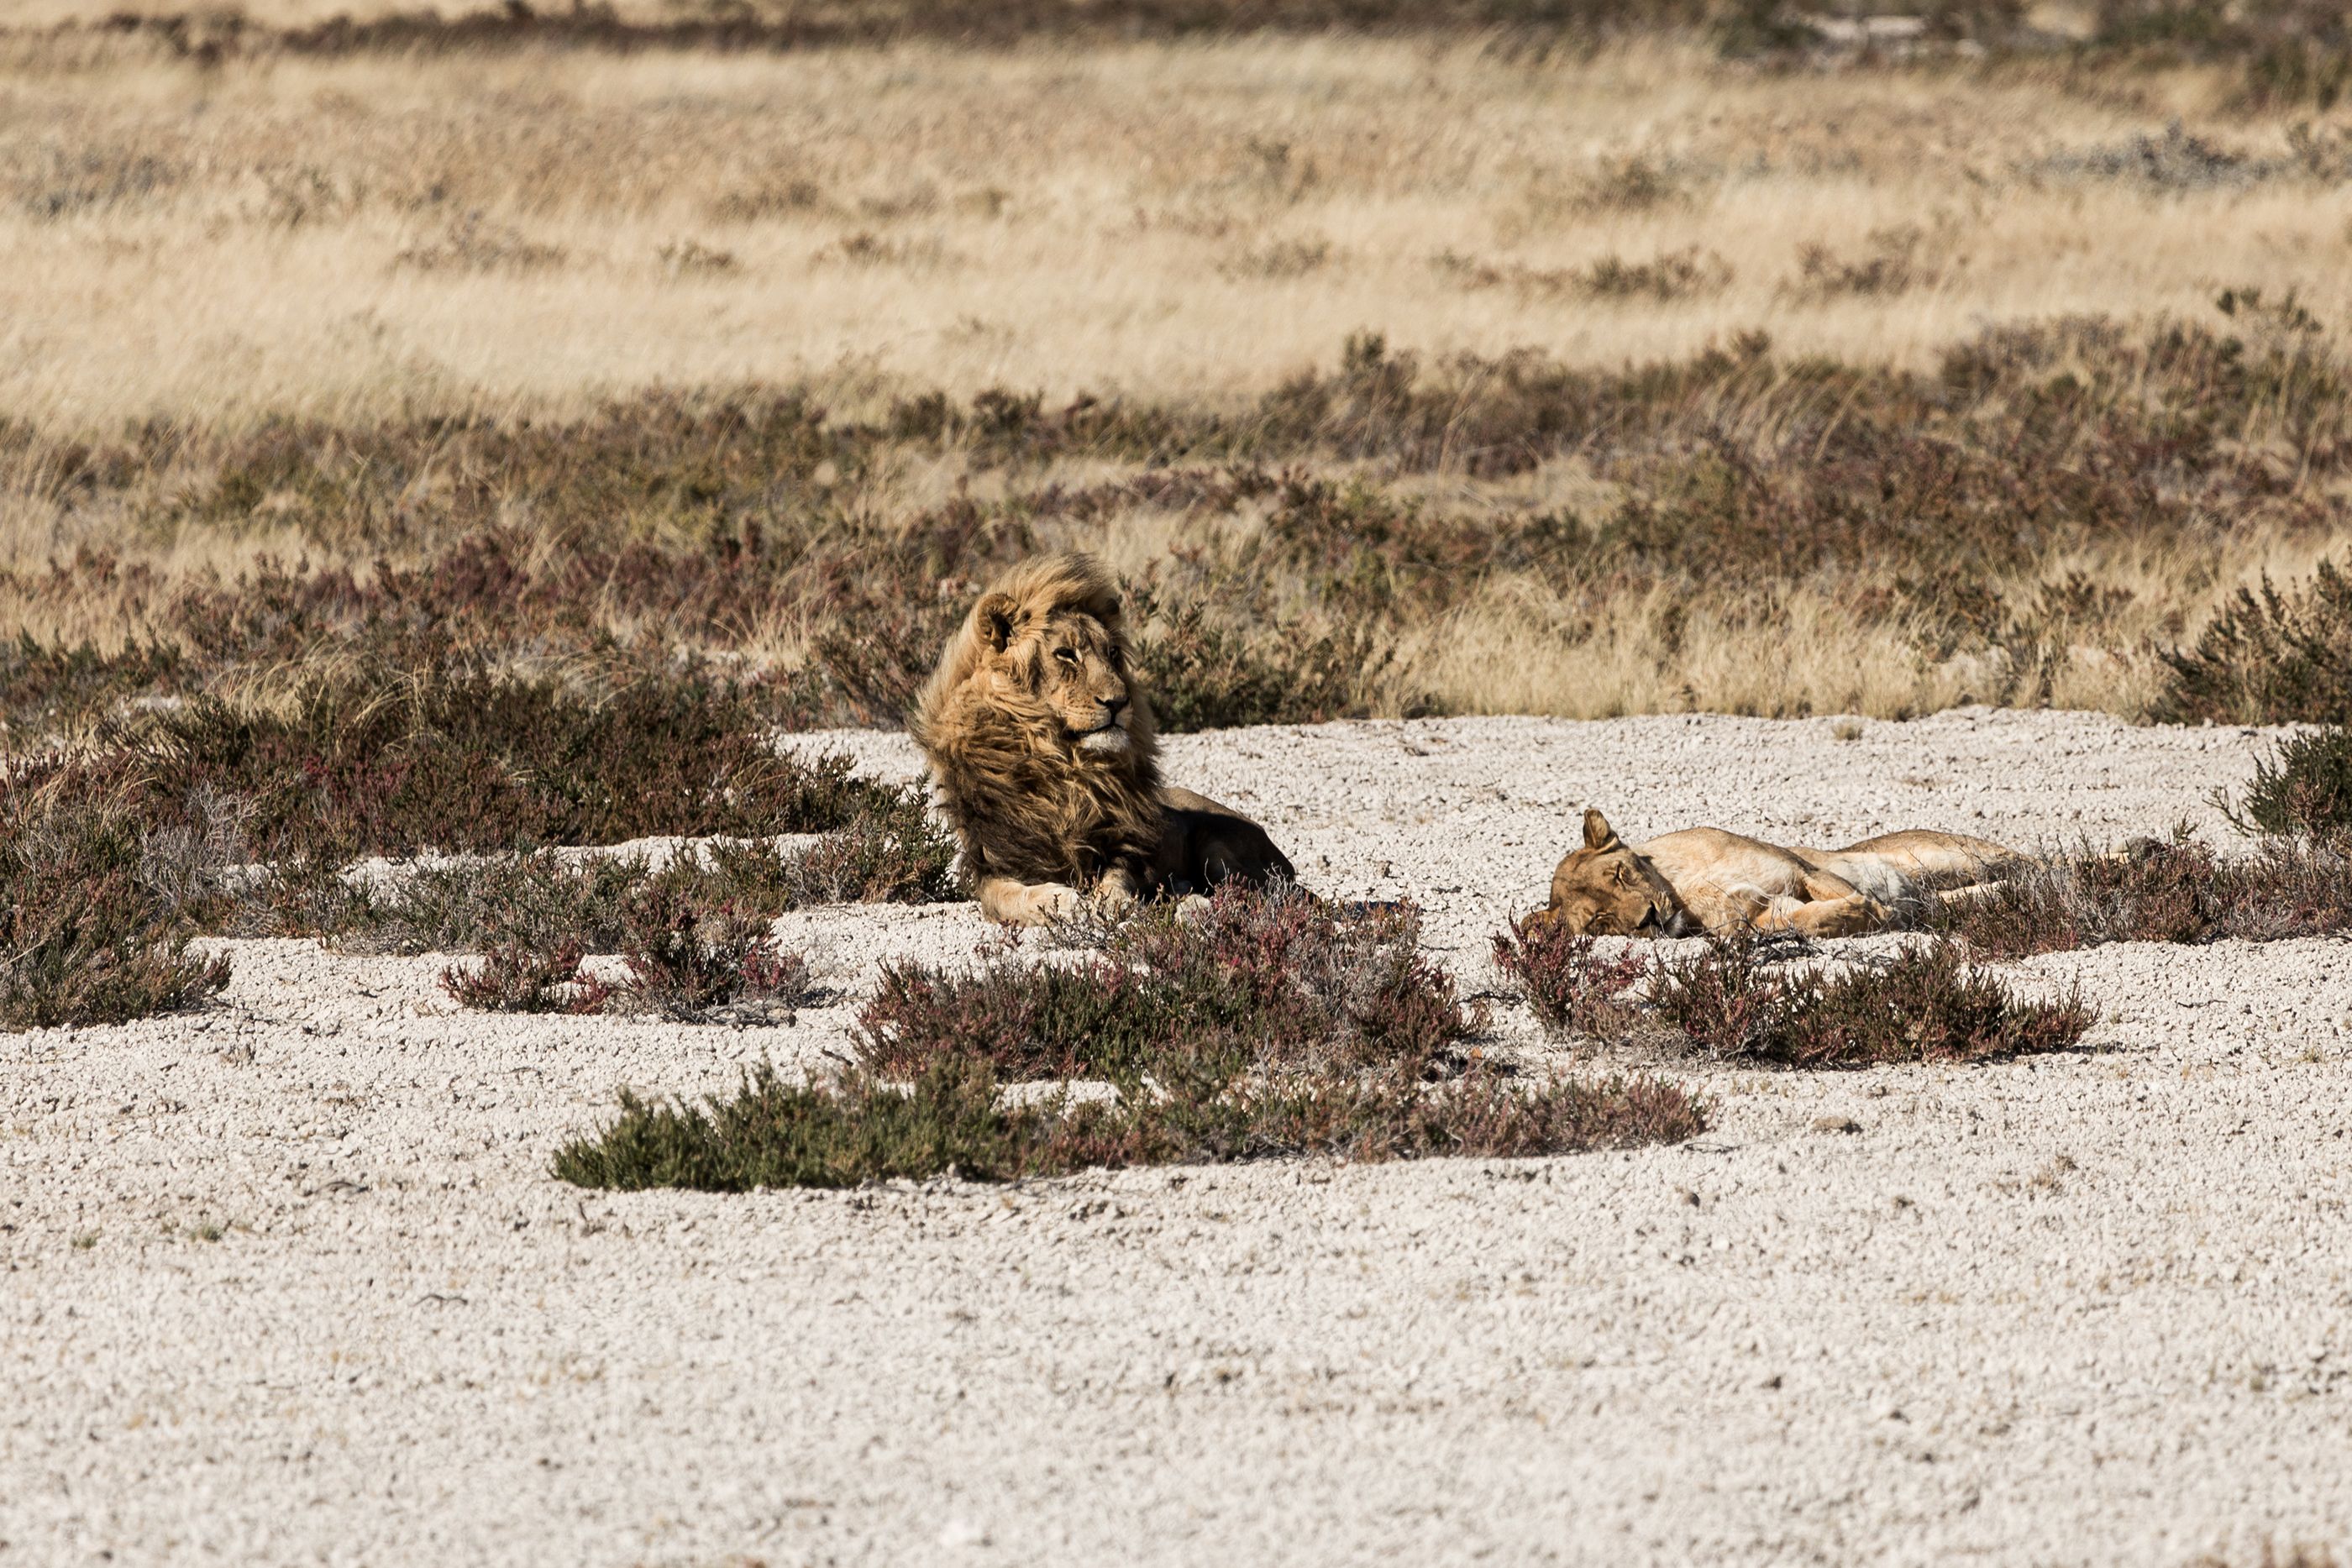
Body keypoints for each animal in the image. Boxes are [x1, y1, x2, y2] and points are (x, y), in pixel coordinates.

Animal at [909, 552, 1294, 925]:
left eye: (1112, 654)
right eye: (1066, 654)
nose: (1119, 702)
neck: (1064, 767)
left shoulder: (1124, 847)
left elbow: (1117, 878)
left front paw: (1113, 902)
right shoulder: (993, 864)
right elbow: (1010, 896)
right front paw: (1063, 901)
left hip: (1219, 849)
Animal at [1533, 808, 2032, 939]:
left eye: (1620, 874)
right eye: (1600, 920)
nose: (1649, 919)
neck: (1684, 892)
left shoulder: (1797, 868)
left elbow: (1832, 888)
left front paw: (1876, 909)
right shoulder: (1763, 911)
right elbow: (1810, 920)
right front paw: (1866, 914)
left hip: (1951, 856)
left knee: (2035, 863)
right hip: (1952, 890)